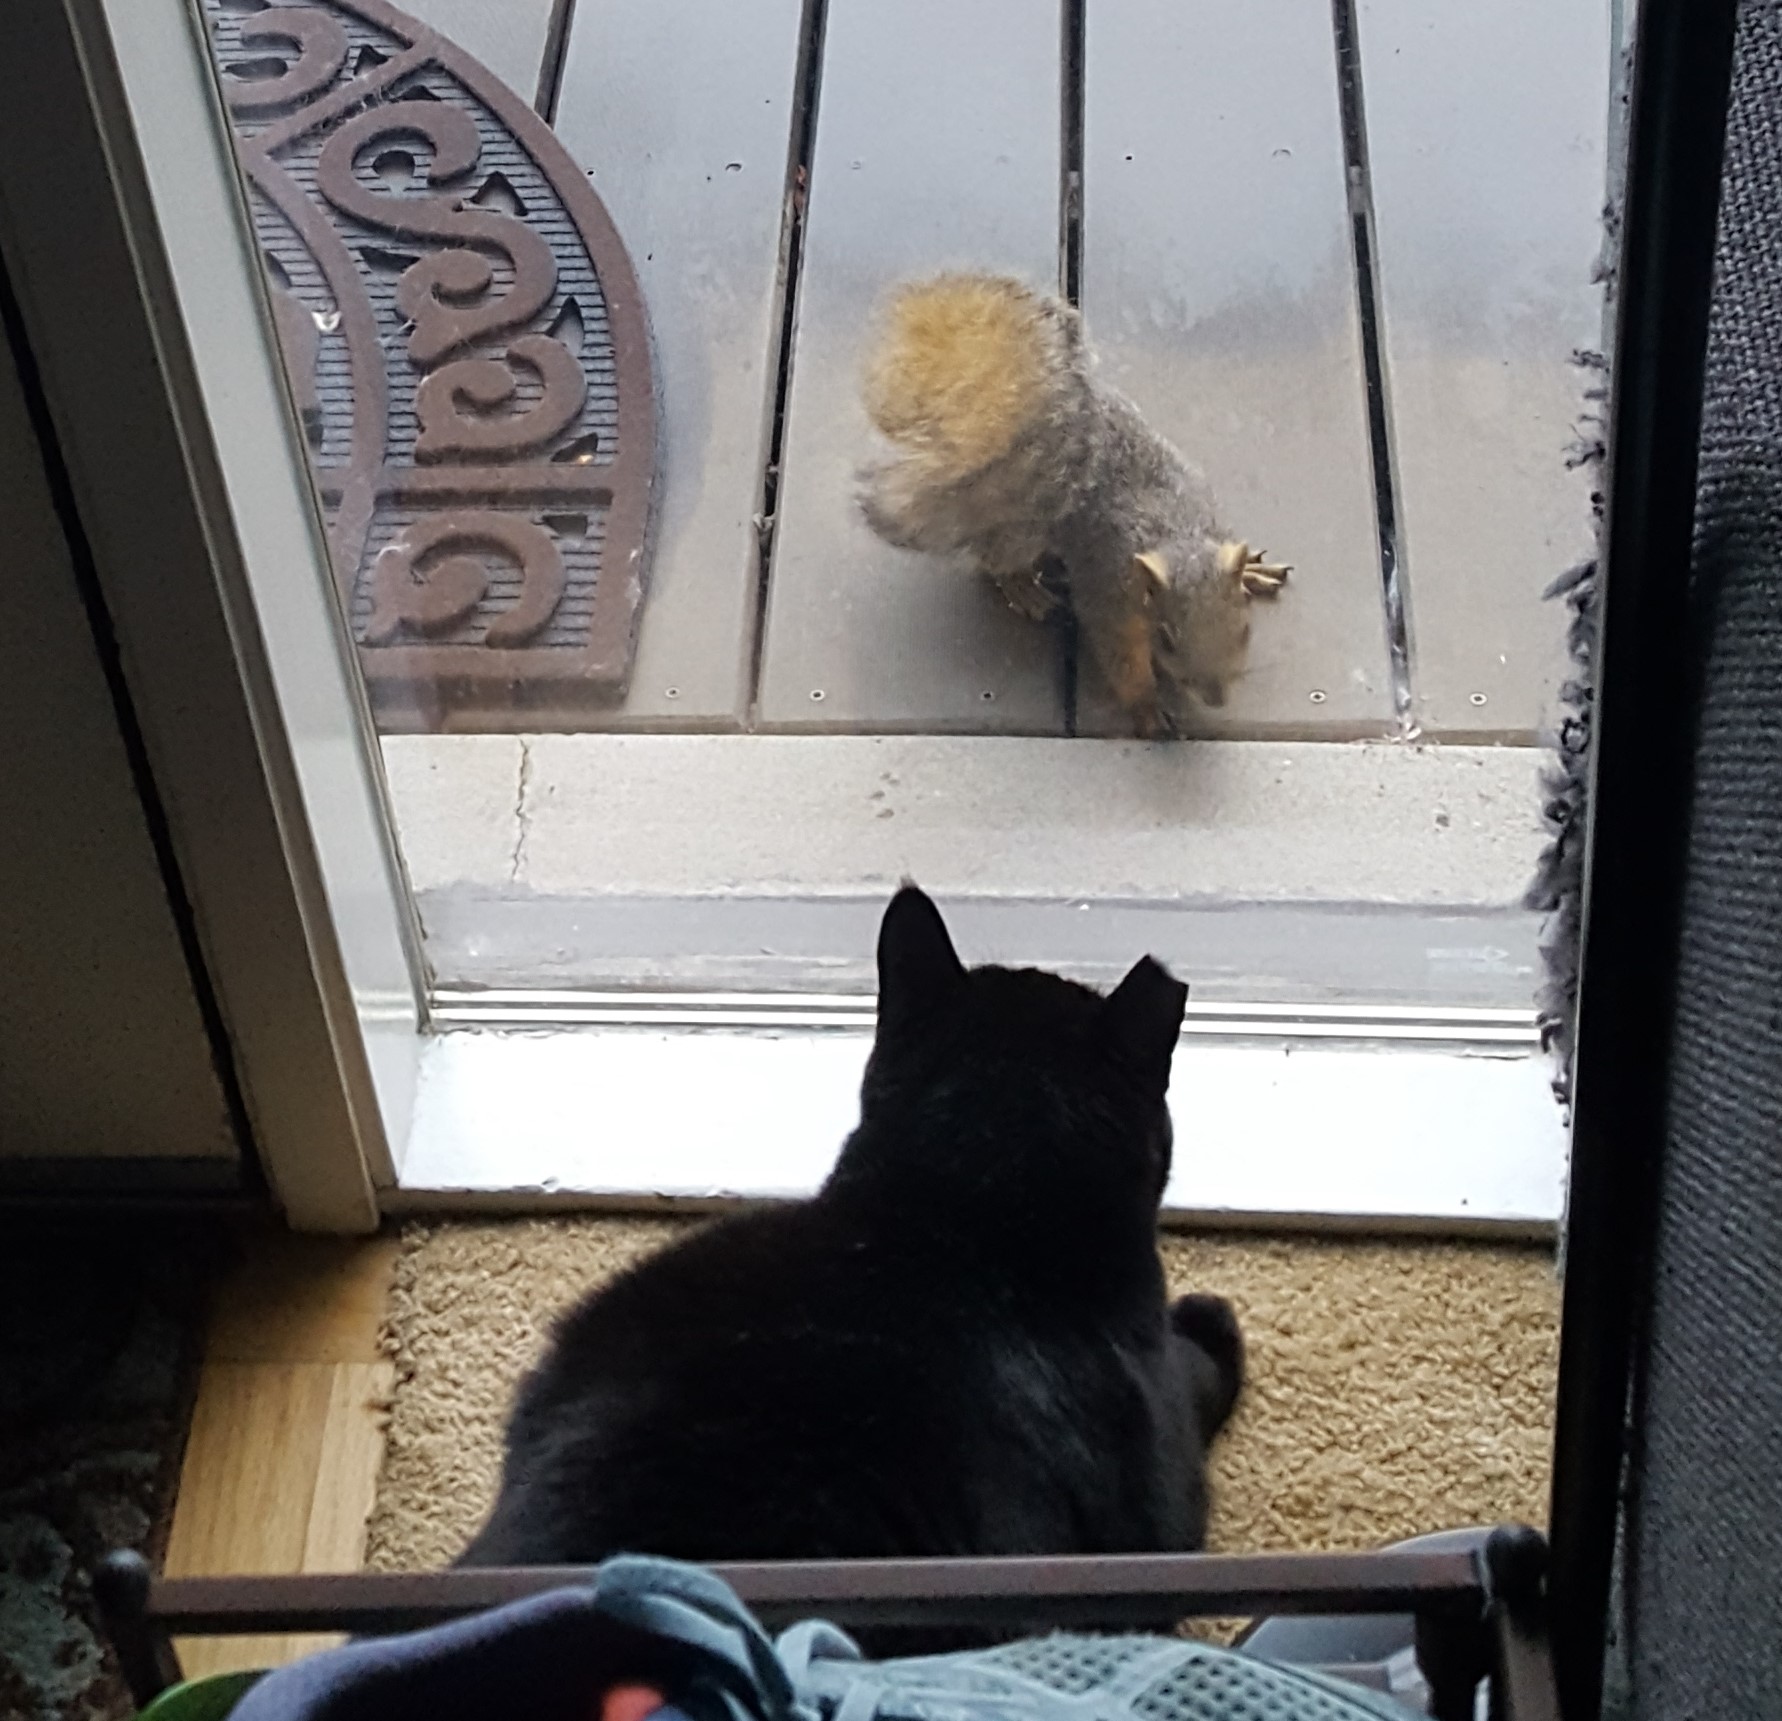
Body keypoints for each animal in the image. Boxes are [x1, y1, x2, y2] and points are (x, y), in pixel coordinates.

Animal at [855, 272, 1290, 737]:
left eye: (1245, 629)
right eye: (1167, 638)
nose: (1215, 697)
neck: (1176, 535)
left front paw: (1251, 572)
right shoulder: (1106, 597)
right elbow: (1122, 663)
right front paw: (1148, 708)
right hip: (1020, 529)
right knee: (993, 561)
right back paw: (1024, 588)